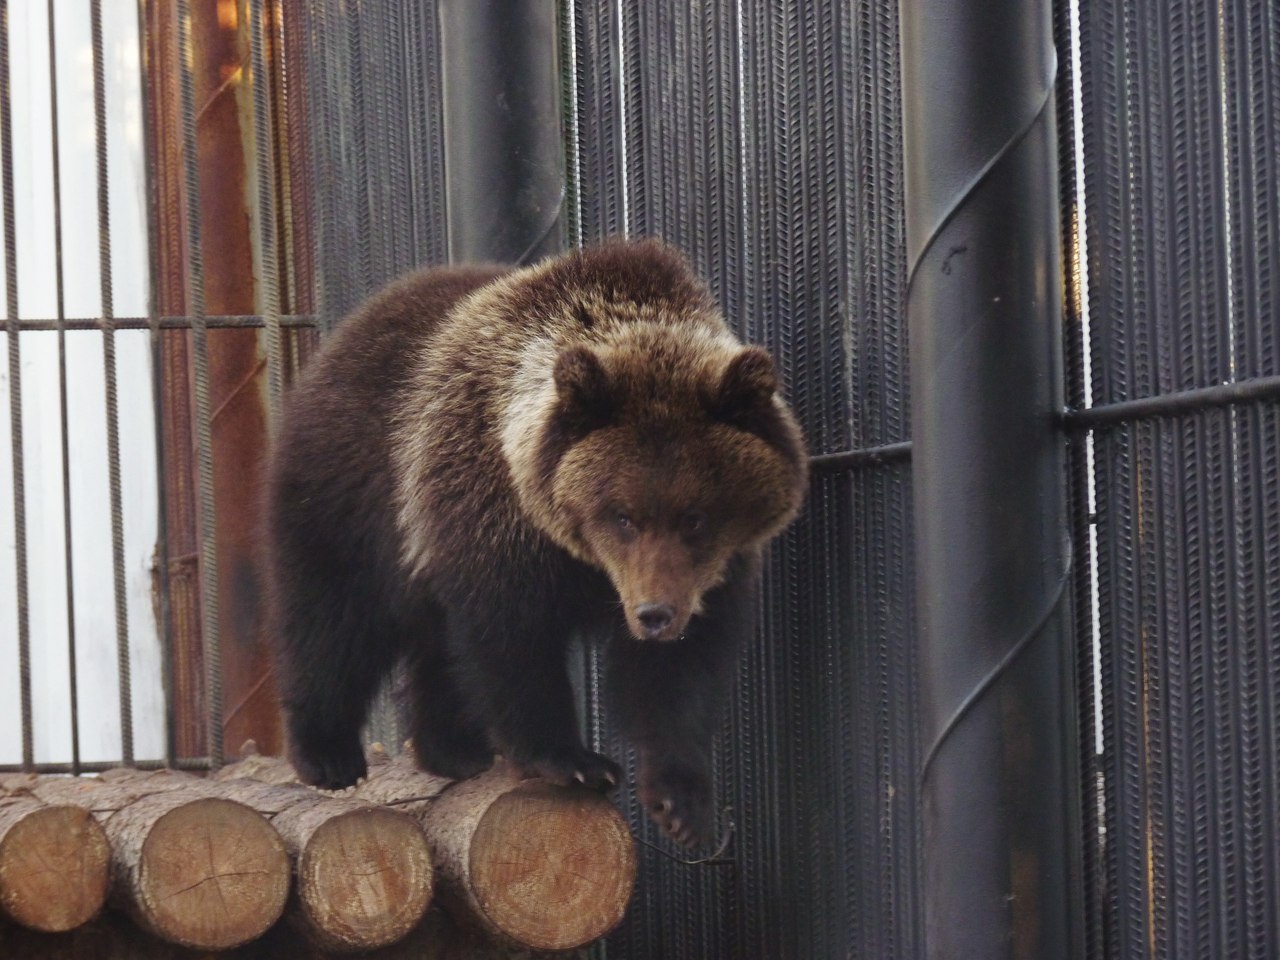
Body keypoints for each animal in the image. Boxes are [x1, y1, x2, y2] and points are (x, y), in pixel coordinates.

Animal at [263, 240, 803, 849]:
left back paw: (453, 749)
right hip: (350, 494)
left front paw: (680, 798)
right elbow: (511, 641)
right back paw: (328, 754)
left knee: (433, 643)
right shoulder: (495, 520)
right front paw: (572, 760)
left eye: (695, 517)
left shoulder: (712, 572)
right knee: (332, 618)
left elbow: (681, 673)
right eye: (622, 515)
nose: (654, 614)